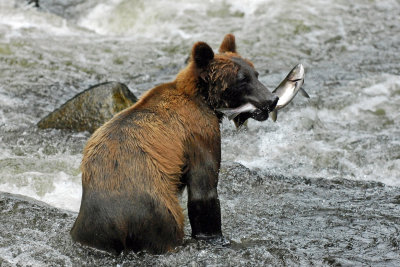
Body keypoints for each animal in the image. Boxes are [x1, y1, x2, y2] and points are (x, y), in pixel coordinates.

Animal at [70, 34, 278, 255]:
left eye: (256, 74)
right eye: (242, 79)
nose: (272, 99)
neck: (204, 99)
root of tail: (116, 221)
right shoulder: (200, 134)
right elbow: (204, 189)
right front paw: (216, 237)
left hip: (89, 227)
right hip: (158, 212)